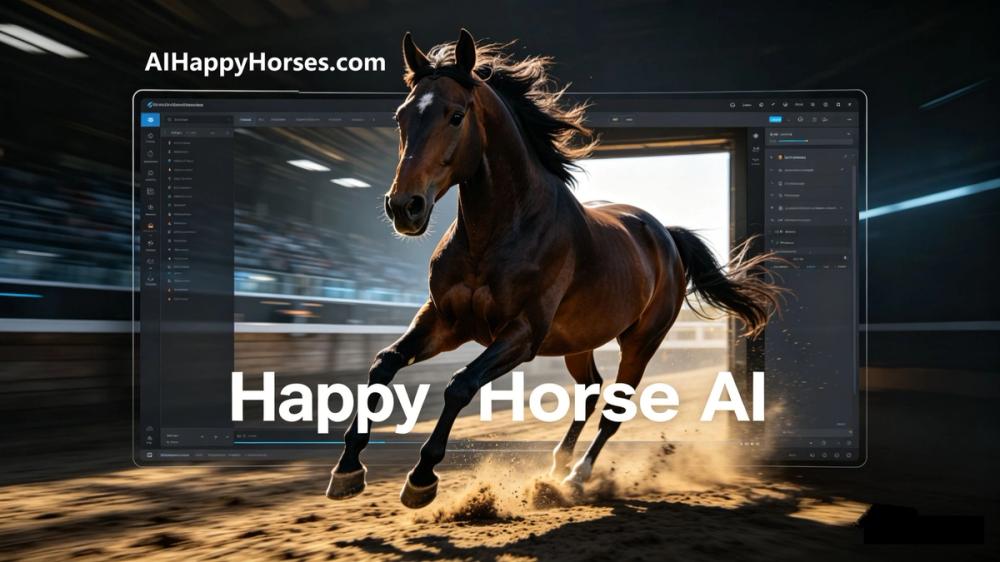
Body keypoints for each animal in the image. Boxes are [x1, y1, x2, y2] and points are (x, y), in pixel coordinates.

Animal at [327, 29, 785, 509]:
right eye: (401, 117)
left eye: (455, 115)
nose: (404, 207)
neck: (498, 234)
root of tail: (666, 236)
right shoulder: (445, 321)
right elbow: (384, 364)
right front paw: (347, 469)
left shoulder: (522, 334)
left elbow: (459, 384)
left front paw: (421, 478)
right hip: (578, 342)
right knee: (590, 390)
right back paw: (557, 466)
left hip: (641, 342)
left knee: (614, 408)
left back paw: (577, 476)